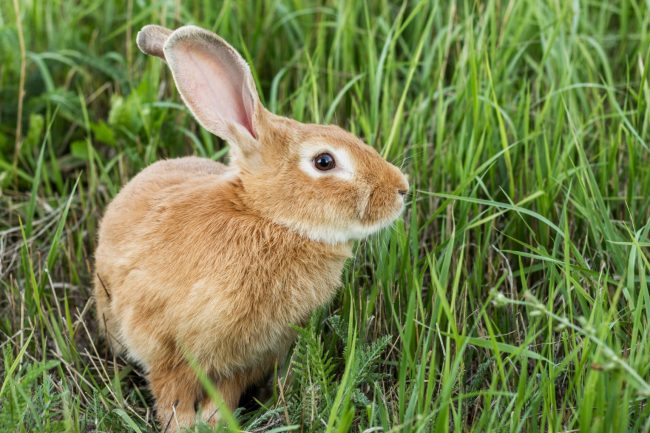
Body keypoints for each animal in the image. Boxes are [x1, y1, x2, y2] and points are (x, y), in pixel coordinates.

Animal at [93, 23, 408, 428]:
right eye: (324, 161)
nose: (401, 189)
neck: (266, 218)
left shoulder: (250, 356)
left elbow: (227, 391)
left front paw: (216, 422)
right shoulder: (163, 342)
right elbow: (171, 391)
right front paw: (183, 426)